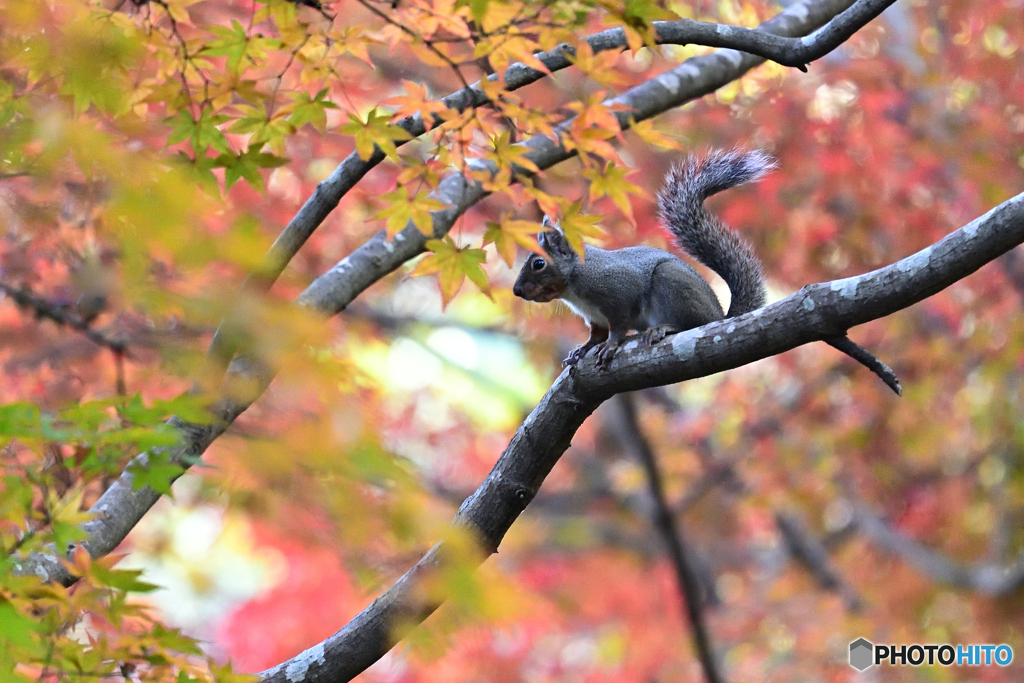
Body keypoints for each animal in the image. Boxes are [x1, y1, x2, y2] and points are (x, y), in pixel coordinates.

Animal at [512, 149, 774, 370]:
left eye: (538, 264)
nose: (517, 291)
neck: (574, 284)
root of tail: (720, 317)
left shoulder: (619, 293)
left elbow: (618, 327)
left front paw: (610, 345)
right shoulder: (595, 318)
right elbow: (596, 334)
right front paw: (582, 349)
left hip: (671, 280)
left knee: (693, 323)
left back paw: (664, 328)